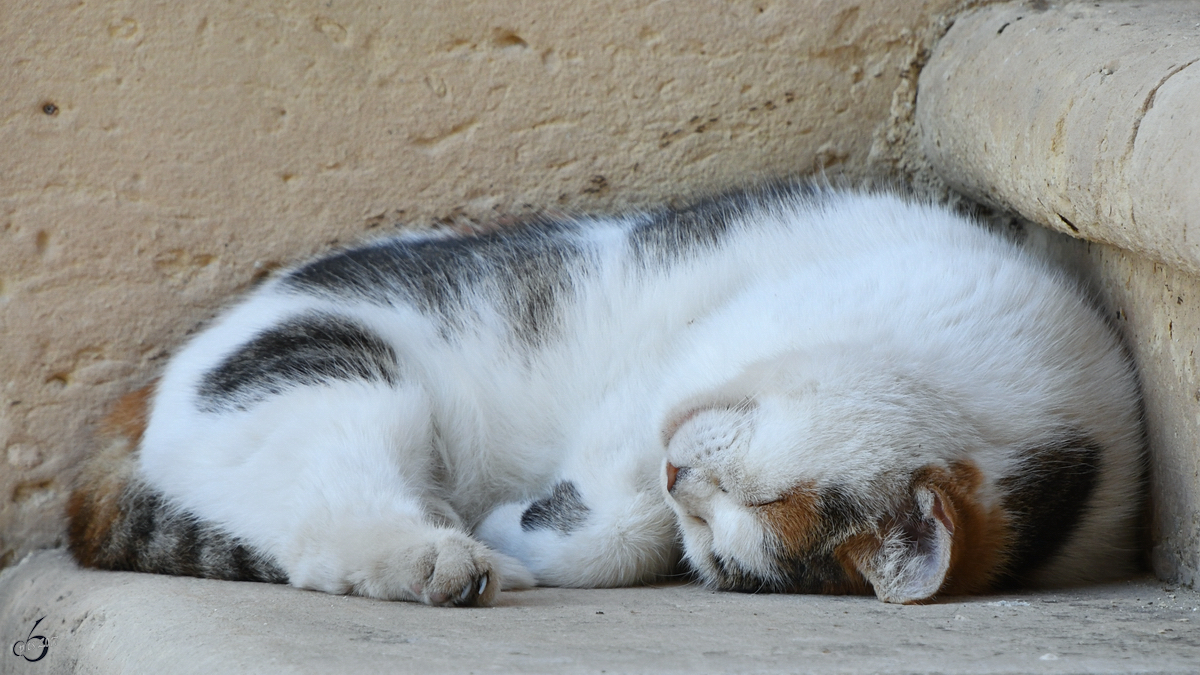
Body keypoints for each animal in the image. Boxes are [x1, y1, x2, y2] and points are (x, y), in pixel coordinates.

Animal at [65, 184, 1142, 605]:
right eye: (757, 495)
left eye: (730, 541)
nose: (680, 477)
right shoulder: (687, 358)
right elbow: (619, 503)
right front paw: (532, 527)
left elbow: (630, 531)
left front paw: (541, 526)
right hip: (329, 365)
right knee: (332, 505)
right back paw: (443, 559)